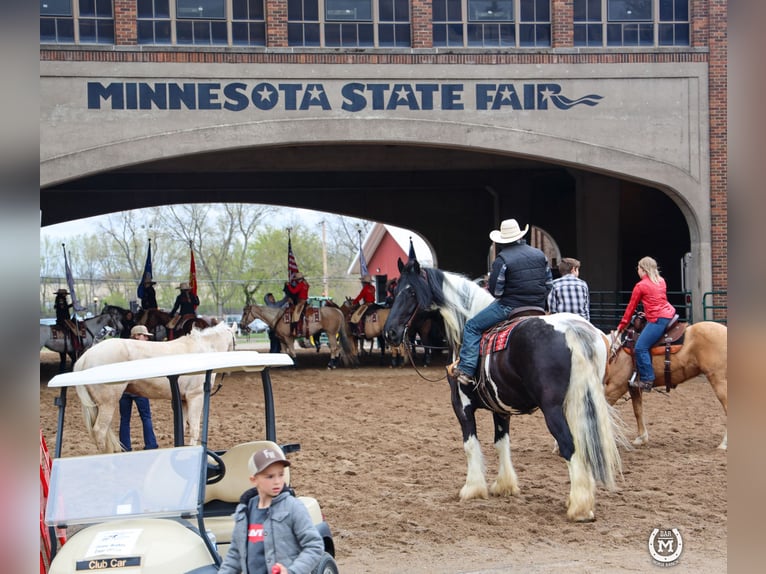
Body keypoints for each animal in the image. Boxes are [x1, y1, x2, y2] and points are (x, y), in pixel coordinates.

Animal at [75, 324, 238, 454]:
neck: (203, 350)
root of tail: (86, 356)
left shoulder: (183, 400)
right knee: (100, 431)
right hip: (108, 403)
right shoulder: (195, 397)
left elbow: (182, 427)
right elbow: (194, 429)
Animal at [388, 258, 628, 524]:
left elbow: (470, 445)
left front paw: (472, 489)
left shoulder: (461, 405)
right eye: (393, 291)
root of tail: (571, 329)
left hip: (553, 410)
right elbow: (501, 443)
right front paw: (504, 485)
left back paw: (579, 508)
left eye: (410, 291)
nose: (390, 332)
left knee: (570, 446)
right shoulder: (501, 409)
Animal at [608, 318, 728, 452]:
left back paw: (724, 444)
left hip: (719, 381)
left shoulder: (616, 387)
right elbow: (638, 411)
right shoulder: (633, 388)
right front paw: (641, 438)